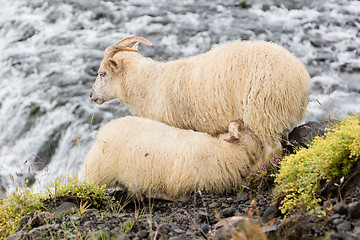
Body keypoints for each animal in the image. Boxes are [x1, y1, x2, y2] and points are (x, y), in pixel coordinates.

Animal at [90, 37, 312, 154]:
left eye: (102, 74)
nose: (91, 96)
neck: (149, 84)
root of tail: (301, 76)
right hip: (278, 116)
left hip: (263, 112)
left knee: (273, 150)